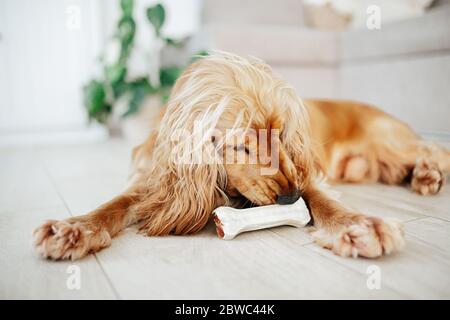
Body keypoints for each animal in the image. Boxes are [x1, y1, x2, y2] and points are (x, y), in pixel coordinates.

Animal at [32, 50, 450, 260]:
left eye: (281, 135)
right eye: (243, 145)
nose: (289, 197)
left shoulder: (305, 176)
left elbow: (323, 201)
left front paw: (358, 226)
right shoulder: (156, 181)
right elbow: (112, 205)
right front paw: (73, 228)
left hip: (390, 142)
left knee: (434, 150)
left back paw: (428, 173)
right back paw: (422, 177)